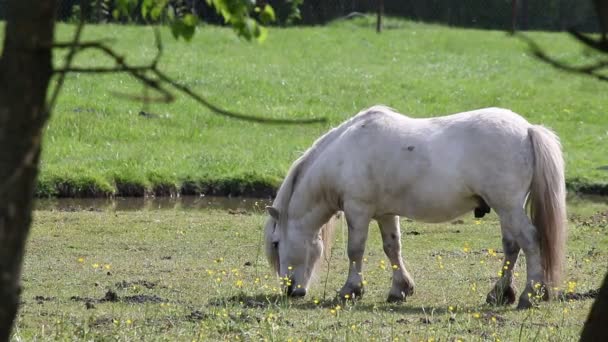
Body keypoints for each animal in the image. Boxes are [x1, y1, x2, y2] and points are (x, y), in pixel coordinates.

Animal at [264, 106, 568, 310]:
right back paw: (500, 294)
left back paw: (529, 295)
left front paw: (350, 291)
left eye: (276, 243)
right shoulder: (386, 214)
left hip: (508, 206)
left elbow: (355, 251)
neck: (346, 154)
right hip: (506, 209)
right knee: (511, 247)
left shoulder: (358, 210)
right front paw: (400, 289)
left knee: (530, 241)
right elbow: (392, 248)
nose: (289, 291)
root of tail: (527, 129)